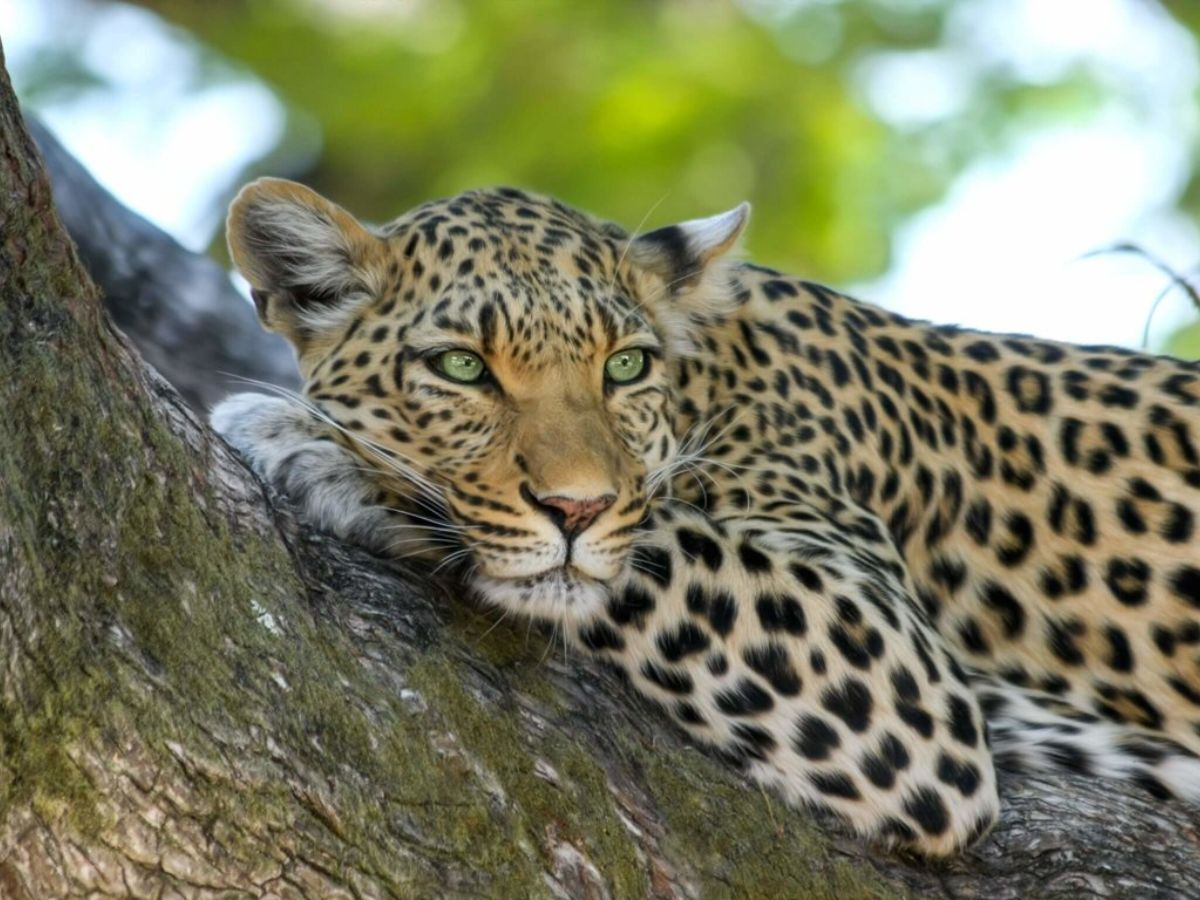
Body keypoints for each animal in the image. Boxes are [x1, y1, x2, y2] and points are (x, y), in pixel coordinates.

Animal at [211, 177, 1200, 857]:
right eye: (461, 368)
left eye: (624, 367)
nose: (576, 506)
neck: (712, 379)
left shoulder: (900, 674)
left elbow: (655, 542)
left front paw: (316, 446)